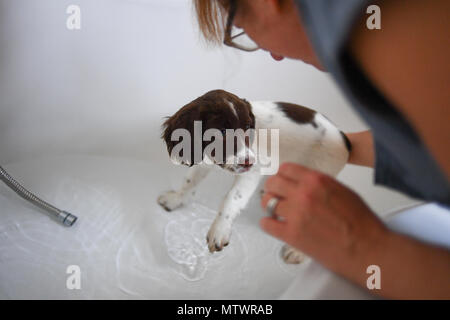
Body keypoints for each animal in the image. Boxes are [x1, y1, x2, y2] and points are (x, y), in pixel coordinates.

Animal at [158, 89, 352, 262]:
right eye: (221, 132)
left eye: (247, 127)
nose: (248, 162)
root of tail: (344, 137)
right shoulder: (204, 161)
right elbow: (189, 181)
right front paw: (176, 199)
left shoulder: (251, 172)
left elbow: (231, 197)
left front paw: (219, 229)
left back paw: (297, 252)